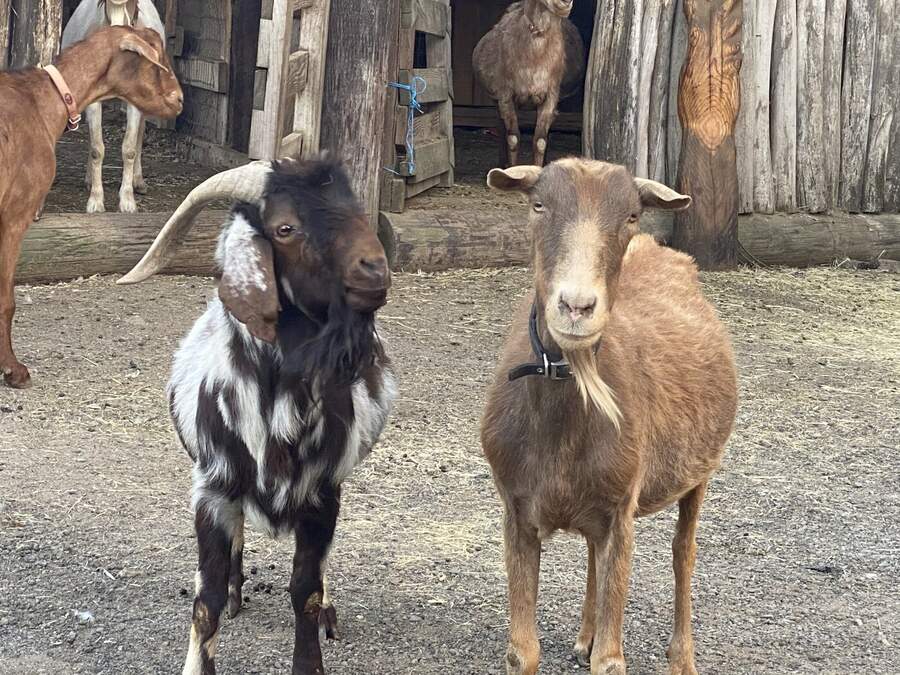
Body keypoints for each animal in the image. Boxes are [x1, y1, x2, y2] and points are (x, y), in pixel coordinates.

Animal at [0, 25, 182, 388]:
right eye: (156, 57)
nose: (180, 99)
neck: (43, 101)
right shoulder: (14, 213)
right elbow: (6, 299)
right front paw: (13, 370)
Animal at [62, 0, 167, 213]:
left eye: (132, 14)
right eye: (105, 10)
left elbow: (130, 148)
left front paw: (127, 202)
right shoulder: (93, 100)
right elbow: (97, 147)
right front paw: (95, 201)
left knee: (141, 133)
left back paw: (138, 182)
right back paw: (89, 180)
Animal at [118, 156, 395, 675]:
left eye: (354, 206)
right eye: (285, 227)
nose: (375, 269)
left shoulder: (323, 494)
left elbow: (305, 591)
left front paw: (311, 654)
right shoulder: (212, 489)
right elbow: (204, 599)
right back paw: (235, 590)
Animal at [473, 0, 585, 167]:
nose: (564, 4)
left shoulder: (550, 96)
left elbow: (540, 141)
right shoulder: (506, 96)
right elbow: (512, 138)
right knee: (501, 128)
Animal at [481, 159, 738, 675]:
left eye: (632, 216)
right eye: (538, 204)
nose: (577, 306)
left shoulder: (623, 507)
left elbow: (610, 661)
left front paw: (606, 645)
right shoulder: (515, 507)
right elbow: (523, 652)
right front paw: (581, 638)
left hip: (698, 471)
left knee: (684, 552)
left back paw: (681, 657)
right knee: (593, 550)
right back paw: (585, 633)